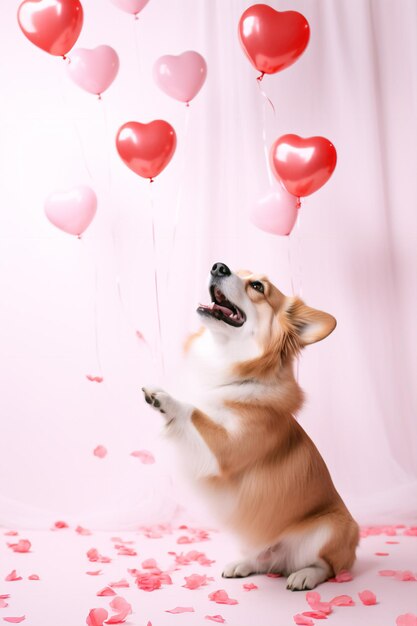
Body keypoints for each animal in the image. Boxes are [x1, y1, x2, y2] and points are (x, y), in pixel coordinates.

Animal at [143, 260, 358, 588]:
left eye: (257, 286)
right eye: (235, 270)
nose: (218, 266)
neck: (228, 365)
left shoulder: (224, 451)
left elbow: (193, 411)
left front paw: (165, 400)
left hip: (330, 529)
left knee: (327, 567)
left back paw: (304, 575)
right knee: (265, 559)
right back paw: (245, 563)